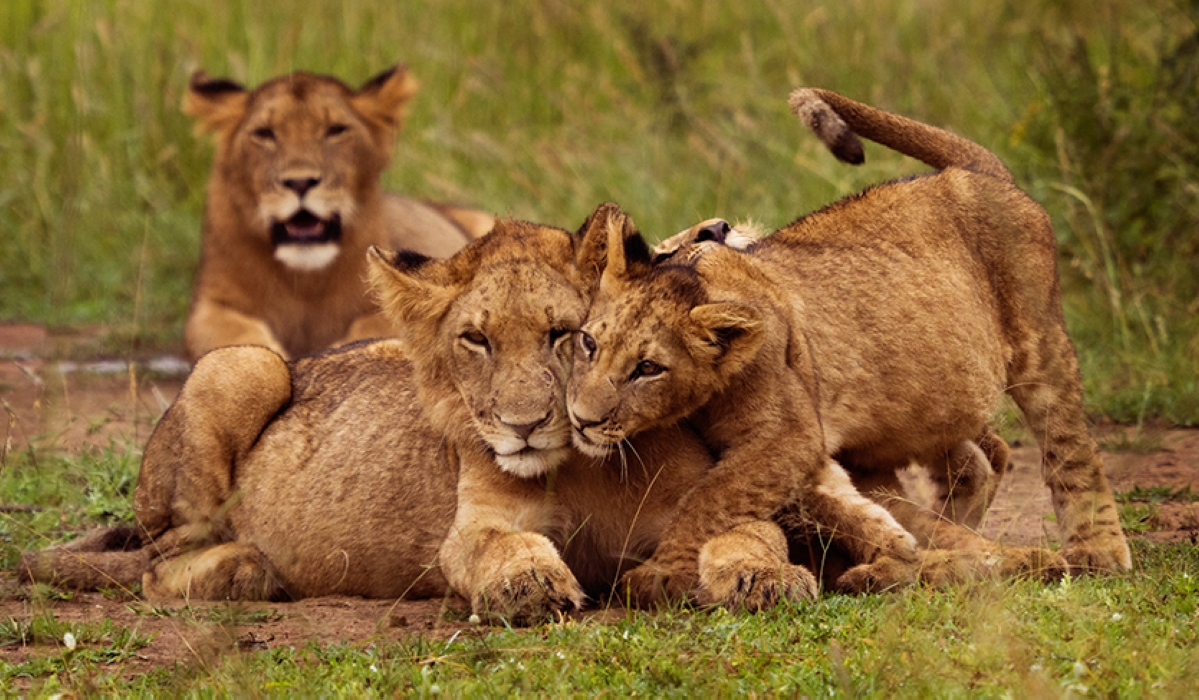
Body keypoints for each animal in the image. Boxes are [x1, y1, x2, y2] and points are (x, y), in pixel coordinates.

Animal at [20, 208, 815, 623]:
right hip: (243, 362)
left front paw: (767, 579)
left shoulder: (701, 504)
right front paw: (530, 586)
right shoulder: (471, 530)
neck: (587, 468)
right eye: (476, 340)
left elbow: (747, 534)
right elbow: (500, 548)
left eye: (563, 334)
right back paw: (247, 567)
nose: (524, 425)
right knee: (157, 566)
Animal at [182, 65, 495, 362]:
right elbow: (228, 333)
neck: (304, 282)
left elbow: (374, 326)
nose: (300, 182)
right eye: (264, 133)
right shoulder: (210, 304)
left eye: (335, 130)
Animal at [567, 88, 1130, 603]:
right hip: (929, 399)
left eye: (647, 368)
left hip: (1040, 345)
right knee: (979, 457)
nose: (581, 420)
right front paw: (901, 552)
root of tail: (973, 172)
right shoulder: (816, 455)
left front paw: (661, 572)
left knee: (1069, 450)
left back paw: (1096, 551)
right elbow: (851, 508)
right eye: (588, 344)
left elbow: (709, 498)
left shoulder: (789, 436)